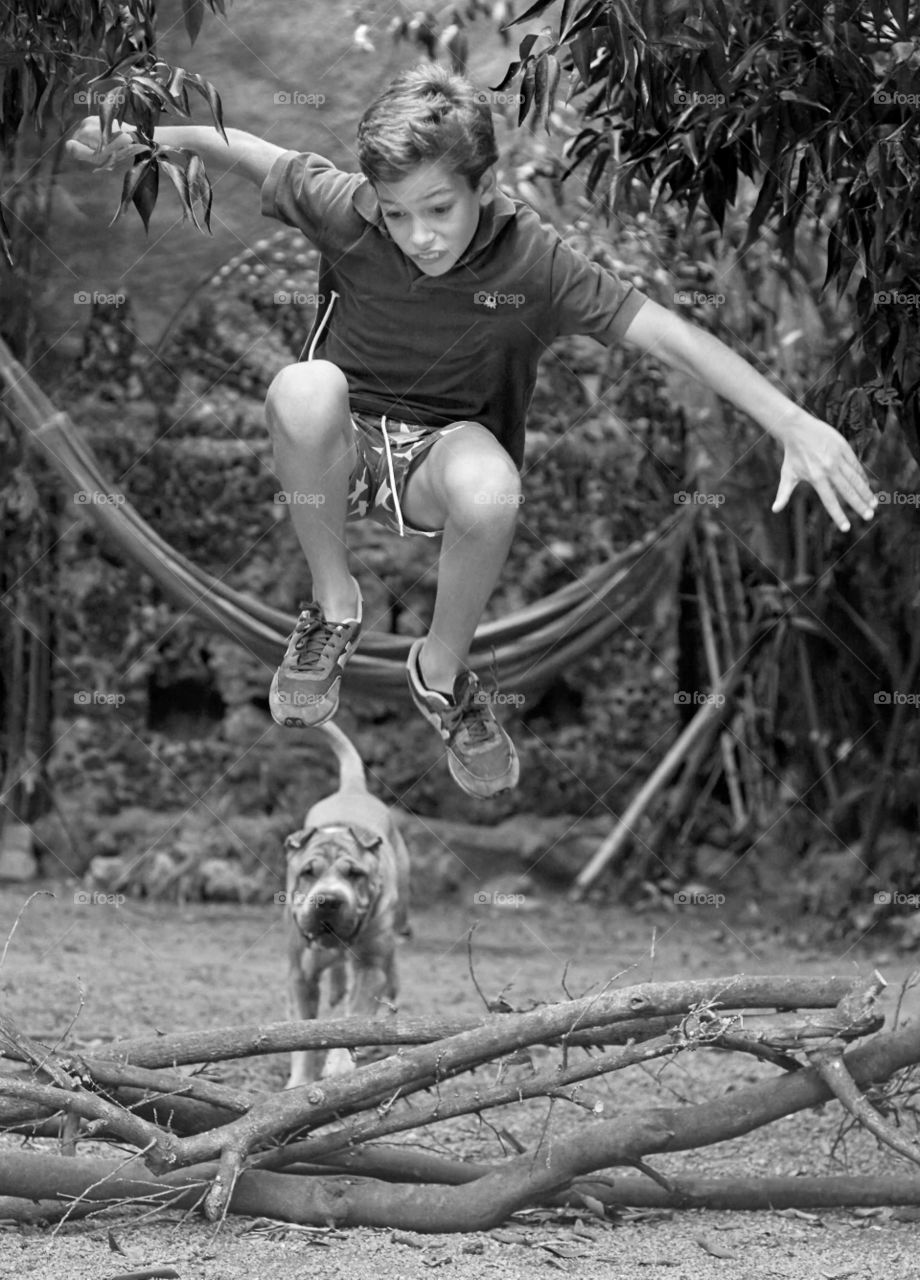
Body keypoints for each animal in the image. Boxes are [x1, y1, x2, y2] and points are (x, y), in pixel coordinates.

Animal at [280, 727, 409, 1085]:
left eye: (355, 874)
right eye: (308, 872)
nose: (328, 900)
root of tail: (353, 788)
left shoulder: (371, 967)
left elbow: (353, 1020)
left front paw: (339, 1067)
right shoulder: (299, 975)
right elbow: (302, 1035)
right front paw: (300, 1081)